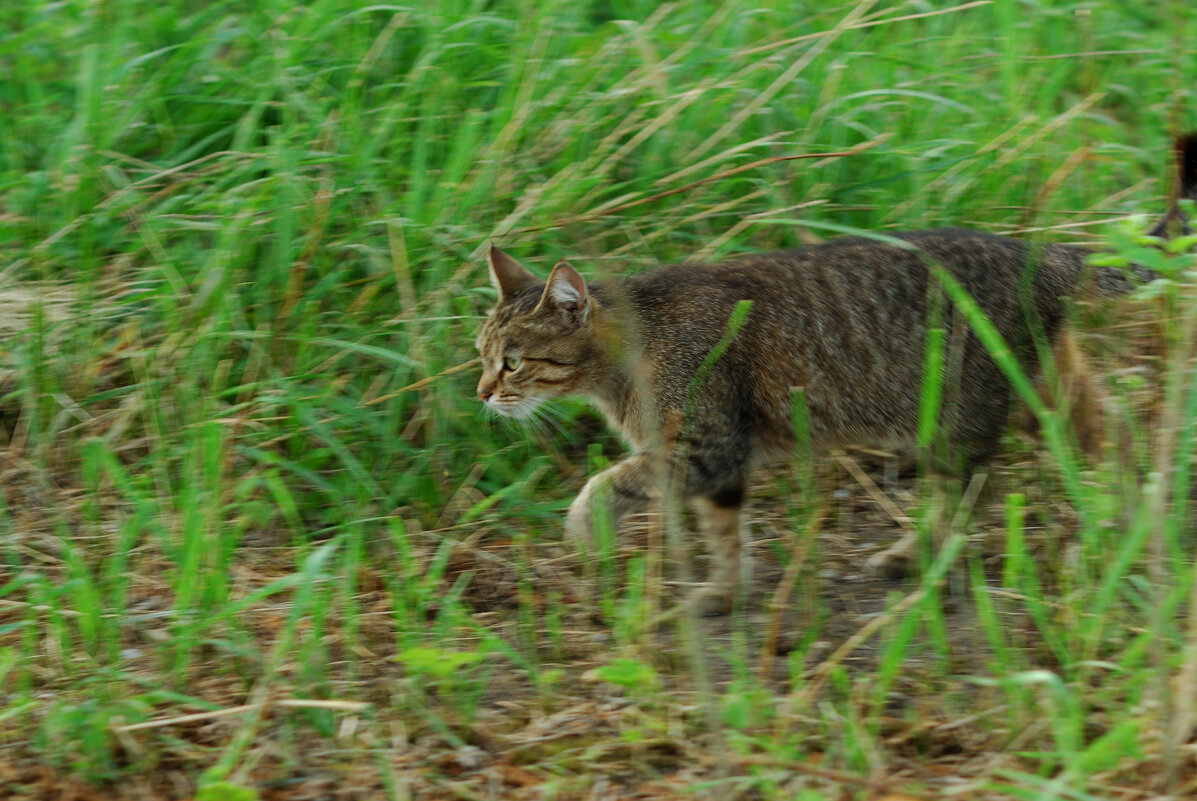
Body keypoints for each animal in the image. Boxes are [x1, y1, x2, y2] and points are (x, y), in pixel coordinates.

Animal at [476, 134, 1197, 617]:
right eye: (481, 353)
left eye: (511, 361)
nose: (482, 391)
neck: (631, 350)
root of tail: (1038, 249)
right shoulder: (719, 465)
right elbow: (725, 535)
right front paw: (723, 593)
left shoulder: (705, 448)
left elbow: (604, 483)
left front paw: (584, 530)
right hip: (1042, 390)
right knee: (1116, 433)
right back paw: (1139, 520)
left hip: (958, 418)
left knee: (970, 495)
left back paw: (919, 558)